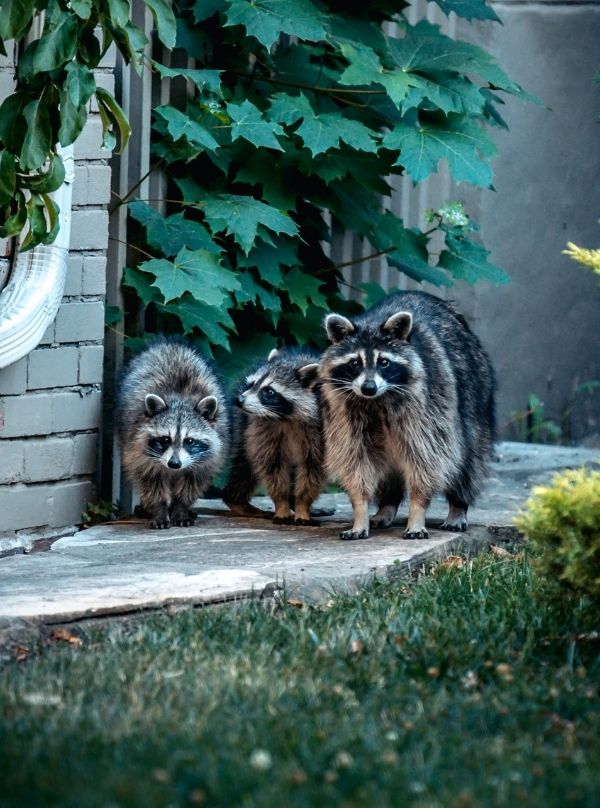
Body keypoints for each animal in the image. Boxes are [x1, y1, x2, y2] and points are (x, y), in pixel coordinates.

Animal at [117, 339, 229, 529]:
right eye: (165, 439)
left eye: (189, 441)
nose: (174, 464)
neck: (181, 399)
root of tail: (170, 343)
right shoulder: (137, 447)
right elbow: (150, 479)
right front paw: (160, 509)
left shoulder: (207, 457)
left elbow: (192, 483)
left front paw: (181, 508)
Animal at [222, 347, 326, 525]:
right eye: (251, 384)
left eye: (269, 392)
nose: (239, 400)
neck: (286, 418)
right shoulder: (263, 429)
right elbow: (273, 467)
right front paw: (282, 504)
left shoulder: (321, 433)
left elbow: (312, 469)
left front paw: (302, 505)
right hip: (241, 425)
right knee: (244, 465)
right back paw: (236, 501)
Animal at [318, 291, 495, 541]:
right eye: (355, 363)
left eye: (384, 362)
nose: (368, 388)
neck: (377, 401)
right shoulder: (345, 413)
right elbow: (355, 460)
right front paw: (360, 511)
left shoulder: (429, 407)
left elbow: (427, 459)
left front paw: (417, 511)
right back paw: (386, 506)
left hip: (475, 395)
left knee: (467, 461)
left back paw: (458, 506)